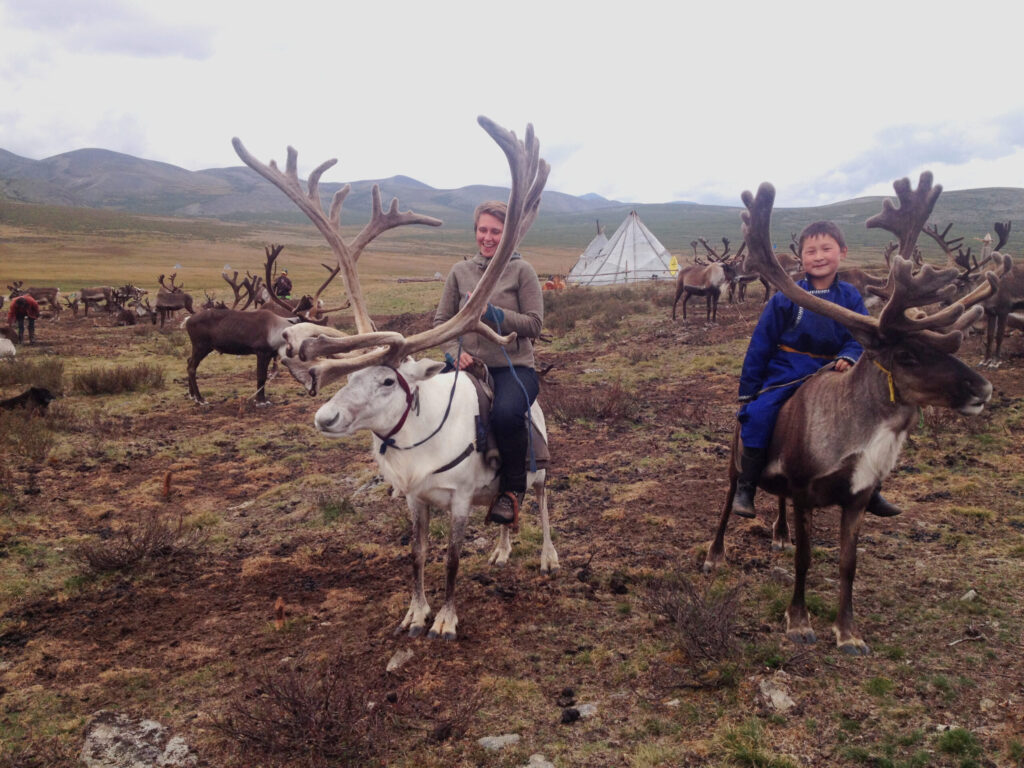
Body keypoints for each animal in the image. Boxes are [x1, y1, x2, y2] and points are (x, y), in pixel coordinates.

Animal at [234, 117, 558, 640]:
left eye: (388, 382)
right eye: (350, 377)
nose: (325, 417)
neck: (418, 444)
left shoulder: (460, 499)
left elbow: (451, 560)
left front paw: (445, 618)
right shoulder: (414, 499)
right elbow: (418, 555)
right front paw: (415, 612)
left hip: (541, 462)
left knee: (543, 498)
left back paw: (548, 556)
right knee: (508, 505)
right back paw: (502, 549)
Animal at [703, 172, 1007, 656]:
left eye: (945, 345)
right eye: (907, 354)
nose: (983, 389)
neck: (862, 438)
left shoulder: (858, 496)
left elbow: (849, 565)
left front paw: (848, 632)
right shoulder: (806, 489)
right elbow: (807, 559)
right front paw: (799, 622)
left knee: (777, 499)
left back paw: (780, 533)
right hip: (738, 452)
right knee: (732, 496)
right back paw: (716, 553)